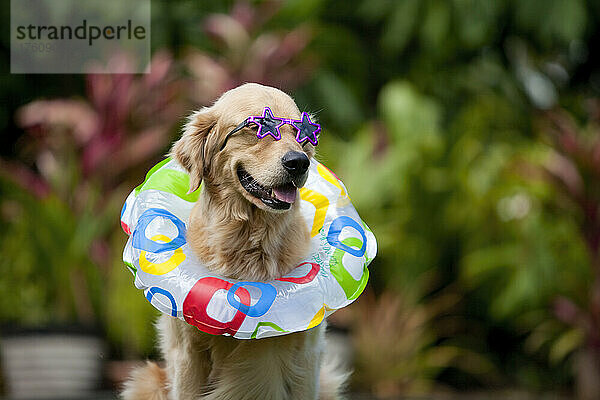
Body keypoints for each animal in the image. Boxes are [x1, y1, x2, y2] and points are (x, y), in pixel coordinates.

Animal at [122, 83, 346, 398]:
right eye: (258, 126)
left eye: (302, 133)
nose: (299, 162)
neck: (250, 239)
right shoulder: (188, 354)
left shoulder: (307, 354)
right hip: (146, 380)